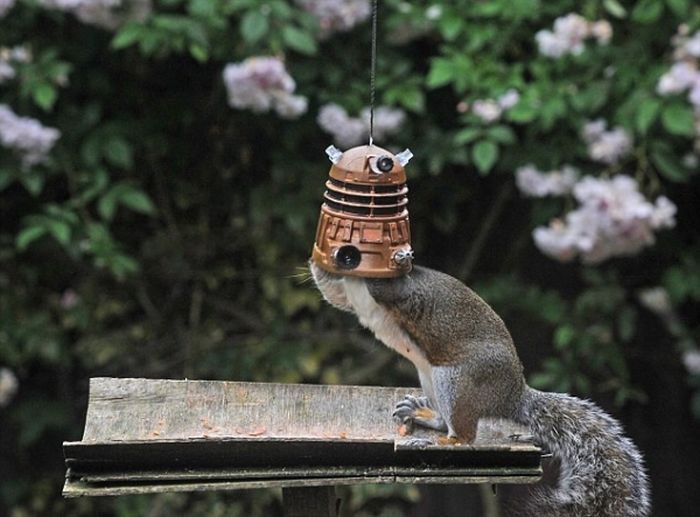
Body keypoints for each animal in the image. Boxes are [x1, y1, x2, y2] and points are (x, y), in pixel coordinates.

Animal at [310, 262, 652, 516]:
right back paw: (422, 415)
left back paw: (443, 442)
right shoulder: (346, 294)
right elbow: (332, 291)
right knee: (446, 422)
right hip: (430, 377)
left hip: (456, 380)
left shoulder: (405, 292)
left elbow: (389, 287)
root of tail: (512, 396)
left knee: (465, 435)